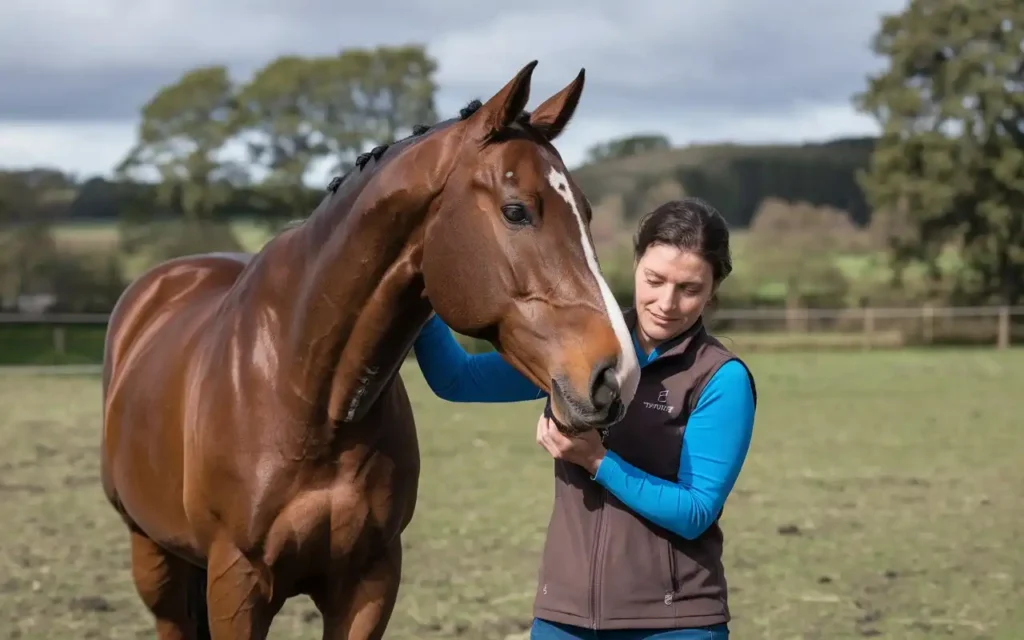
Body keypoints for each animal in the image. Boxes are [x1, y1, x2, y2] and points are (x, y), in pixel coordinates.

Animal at [97, 57, 638, 634]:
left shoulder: (369, 582)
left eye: (584, 212)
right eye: (516, 211)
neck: (306, 394)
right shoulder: (236, 584)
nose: (617, 374)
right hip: (153, 557)